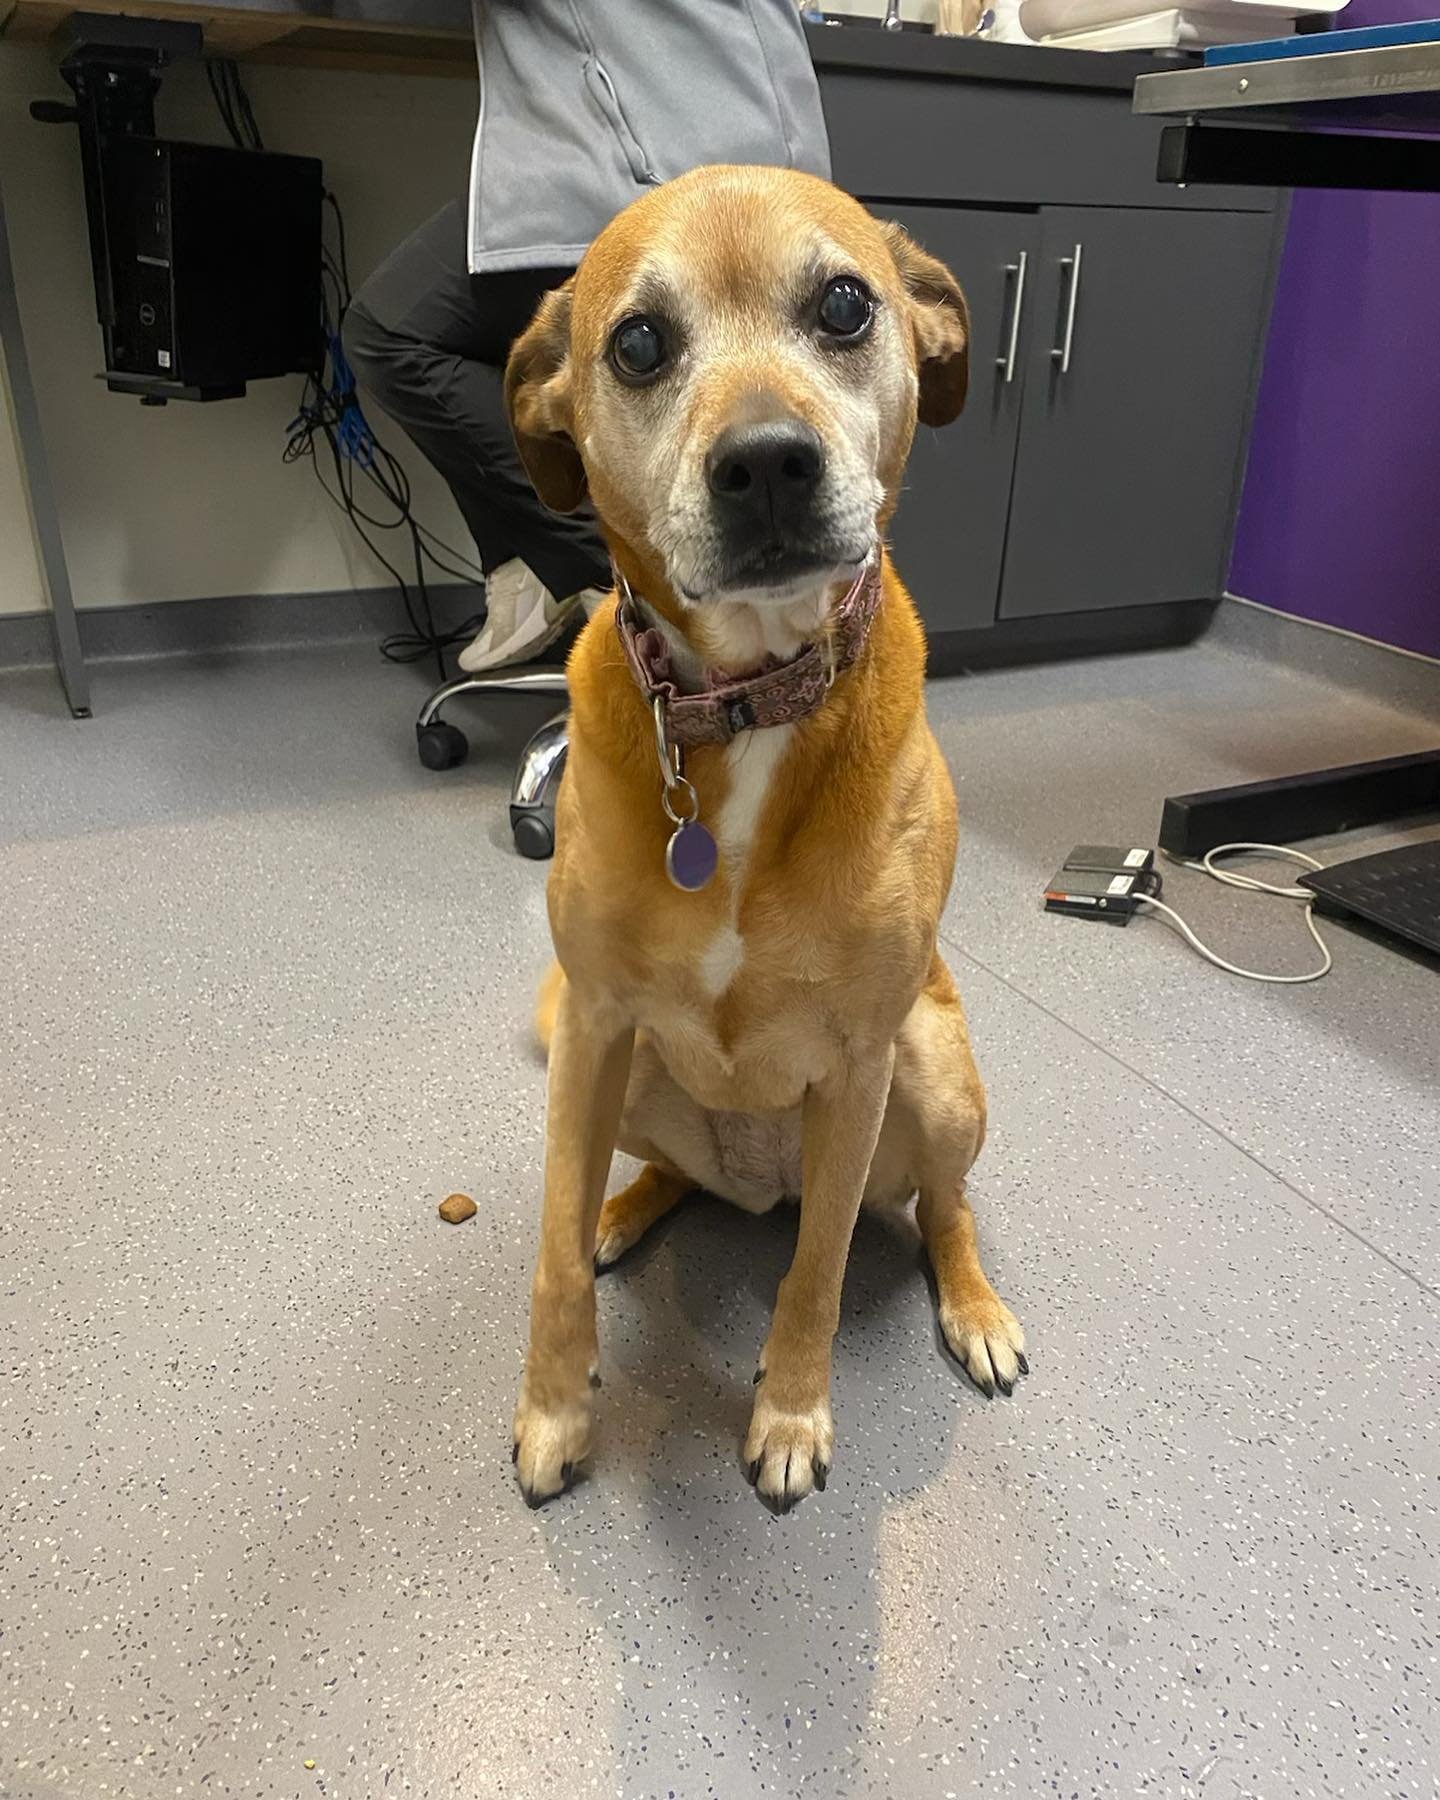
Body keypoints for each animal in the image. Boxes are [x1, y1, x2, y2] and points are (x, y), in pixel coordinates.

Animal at [507, 169, 1022, 1512]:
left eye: (844, 304)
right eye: (637, 343)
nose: (769, 465)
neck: (747, 704)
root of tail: (758, 1185)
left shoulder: (859, 1063)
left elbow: (821, 1272)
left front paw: (789, 1415)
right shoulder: (592, 1021)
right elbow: (548, 1251)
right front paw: (553, 1409)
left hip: (931, 1075)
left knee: (940, 1206)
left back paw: (975, 1306)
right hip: (619, 1065)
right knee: (661, 1180)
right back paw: (628, 1208)